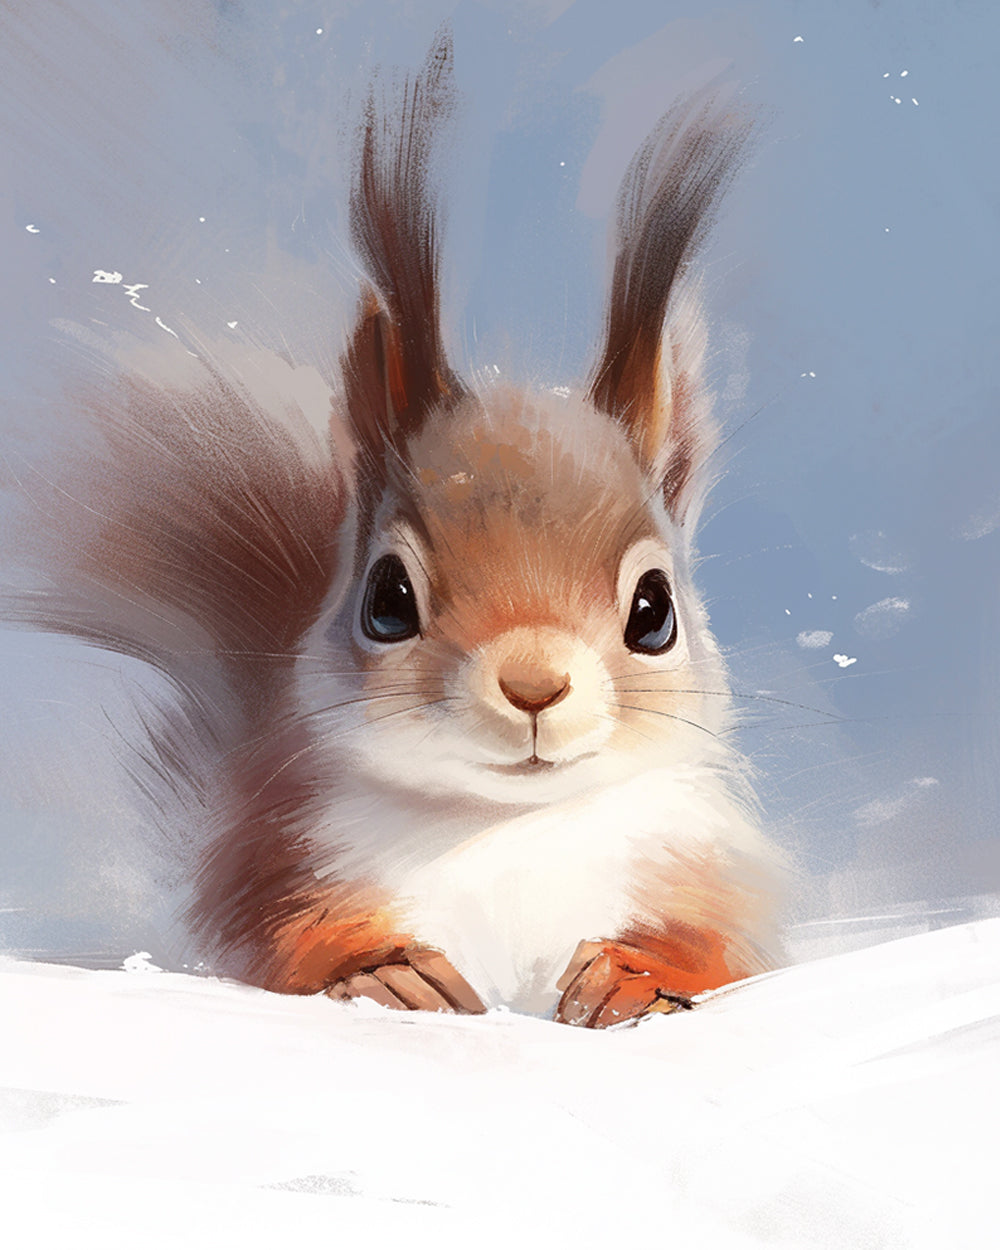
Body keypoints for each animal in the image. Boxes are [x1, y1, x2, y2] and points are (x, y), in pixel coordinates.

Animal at [14, 32, 782, 1028]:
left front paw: (635, 976)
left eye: (655, 612)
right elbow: (280, 944)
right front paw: (386, 975)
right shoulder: (287, 860)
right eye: (386, 600)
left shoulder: (704, 871)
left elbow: (724, 951)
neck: (505, 824)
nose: (533, 684)